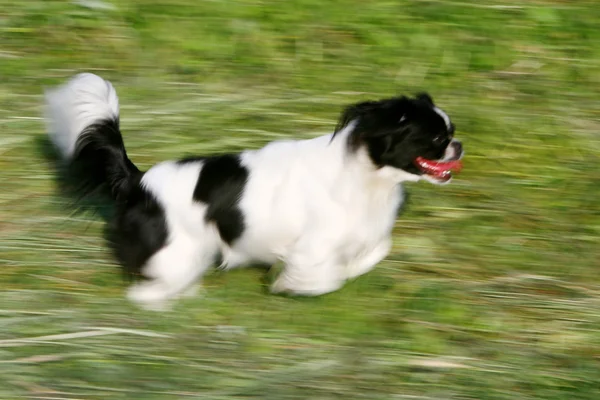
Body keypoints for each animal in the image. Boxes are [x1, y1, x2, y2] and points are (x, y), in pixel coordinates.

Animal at [44, 72, 464, 310]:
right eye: (437, 139)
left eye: (451, 133)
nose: (459, 146)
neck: (366, 176)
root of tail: (139, 180)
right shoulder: (315, 244)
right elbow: (323, 276)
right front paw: (289, 284)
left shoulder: (364, 231)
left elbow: (376, 250)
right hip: (177, 251)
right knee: (149, 290)